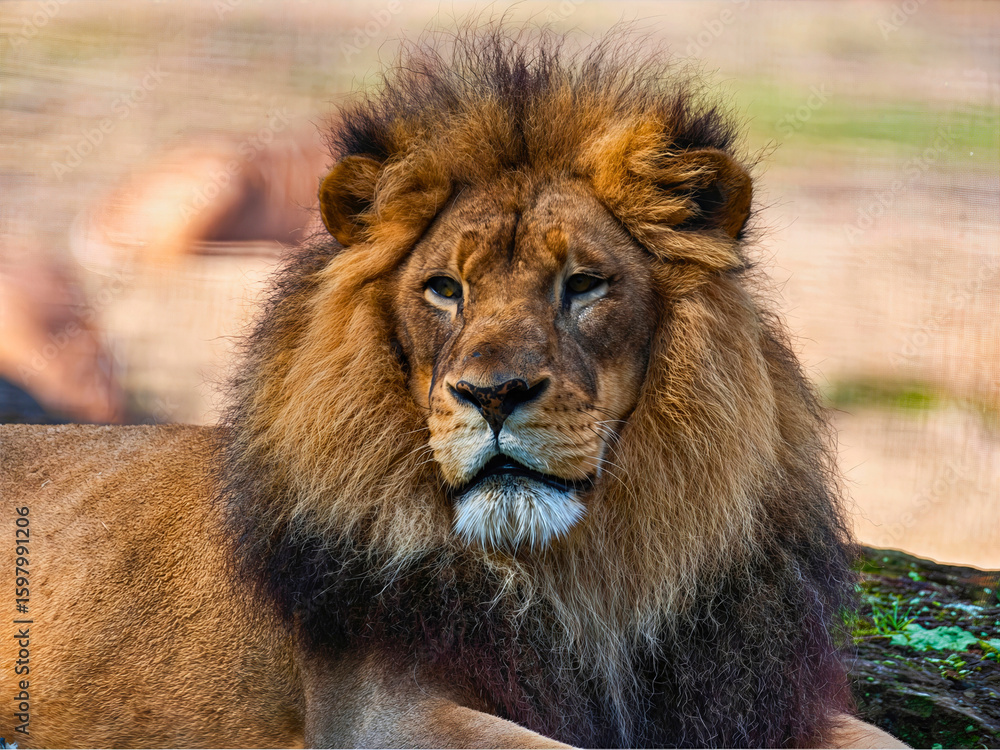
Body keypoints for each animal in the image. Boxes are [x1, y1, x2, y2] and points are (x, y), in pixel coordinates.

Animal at [1, 29, 906, 749]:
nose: (494, 394)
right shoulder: (379, 711)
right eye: (444, 289)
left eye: (583, 284)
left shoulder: (734, 698)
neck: (598, 575)